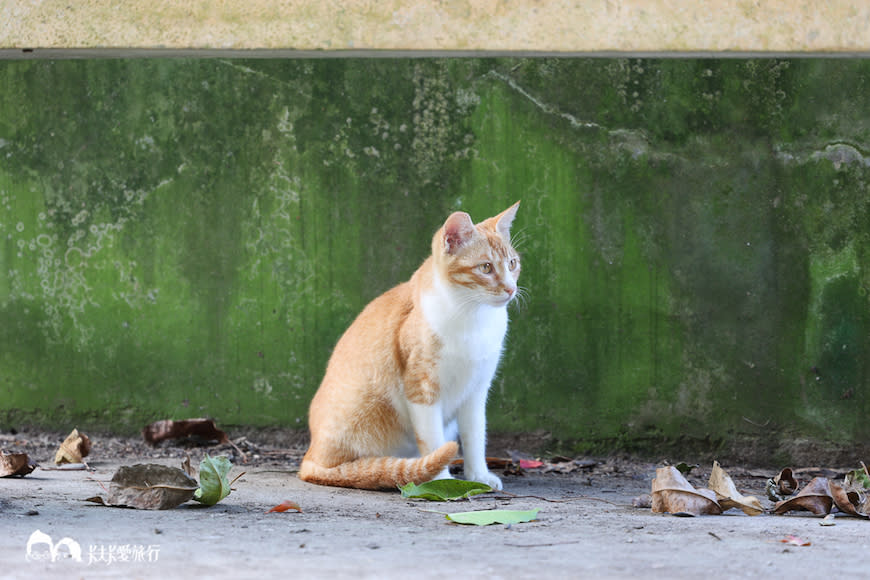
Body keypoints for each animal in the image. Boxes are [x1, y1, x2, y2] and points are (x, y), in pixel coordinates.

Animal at [298, 202, 524, 492]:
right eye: (485, 268)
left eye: (512, 264)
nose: (511, 289)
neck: (473, 317)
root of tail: (309, 457)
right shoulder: (422, 388)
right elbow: (433, 441)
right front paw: (441, 480)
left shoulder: (476, 390)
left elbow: (475, 436)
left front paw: (478, 476)